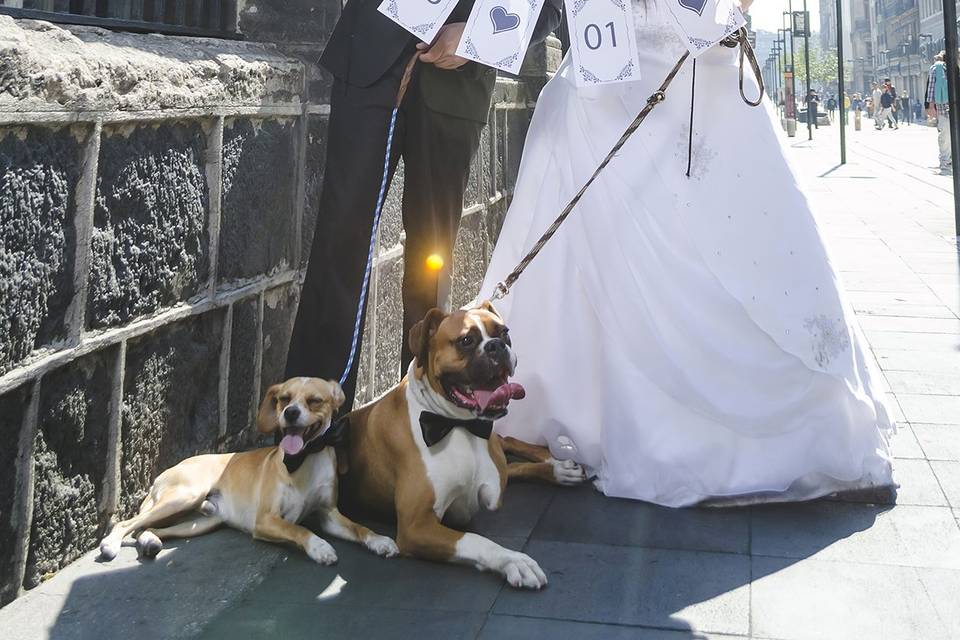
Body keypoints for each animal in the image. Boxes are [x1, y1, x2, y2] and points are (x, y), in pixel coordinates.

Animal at [98, 378, 398, 564]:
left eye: (314, 400)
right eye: (283, 398)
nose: (290, 412)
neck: (304, 458)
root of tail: (163, 473)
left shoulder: (329, 515)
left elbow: (360, 527)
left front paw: (380, 540)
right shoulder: (266, 520)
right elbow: (299, 529)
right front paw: (319, 547)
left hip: (199, 522)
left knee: (147, 529)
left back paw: (150, 541)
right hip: (184, 497)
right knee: (126, 524)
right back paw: (111, 544)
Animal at [342, 302, 588, 588]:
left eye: (504, 333)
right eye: (466, 341)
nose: (496, 346)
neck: (456, 425)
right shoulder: (416, 526)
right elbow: (474, 539)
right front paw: (513, 560)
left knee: (507, 443)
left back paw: (559, 468)